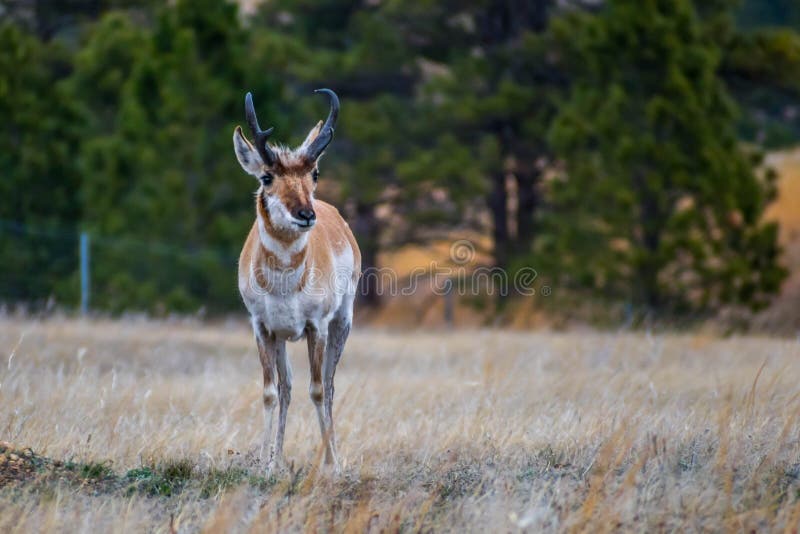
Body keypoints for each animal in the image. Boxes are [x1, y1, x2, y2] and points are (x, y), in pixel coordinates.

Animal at [233, 89, 360, 474]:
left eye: (314, 173)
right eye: (266, 177)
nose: (306, 214)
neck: (284, 282)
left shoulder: (316, 326)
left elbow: (317, 390)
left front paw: (329, 464)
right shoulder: (262, 327)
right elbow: (270, 391)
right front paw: (265, 463)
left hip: (341, 323)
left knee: (329, 386)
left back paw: (333, 457)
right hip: (282, 338)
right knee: (287, 387)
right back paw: (279, 458)